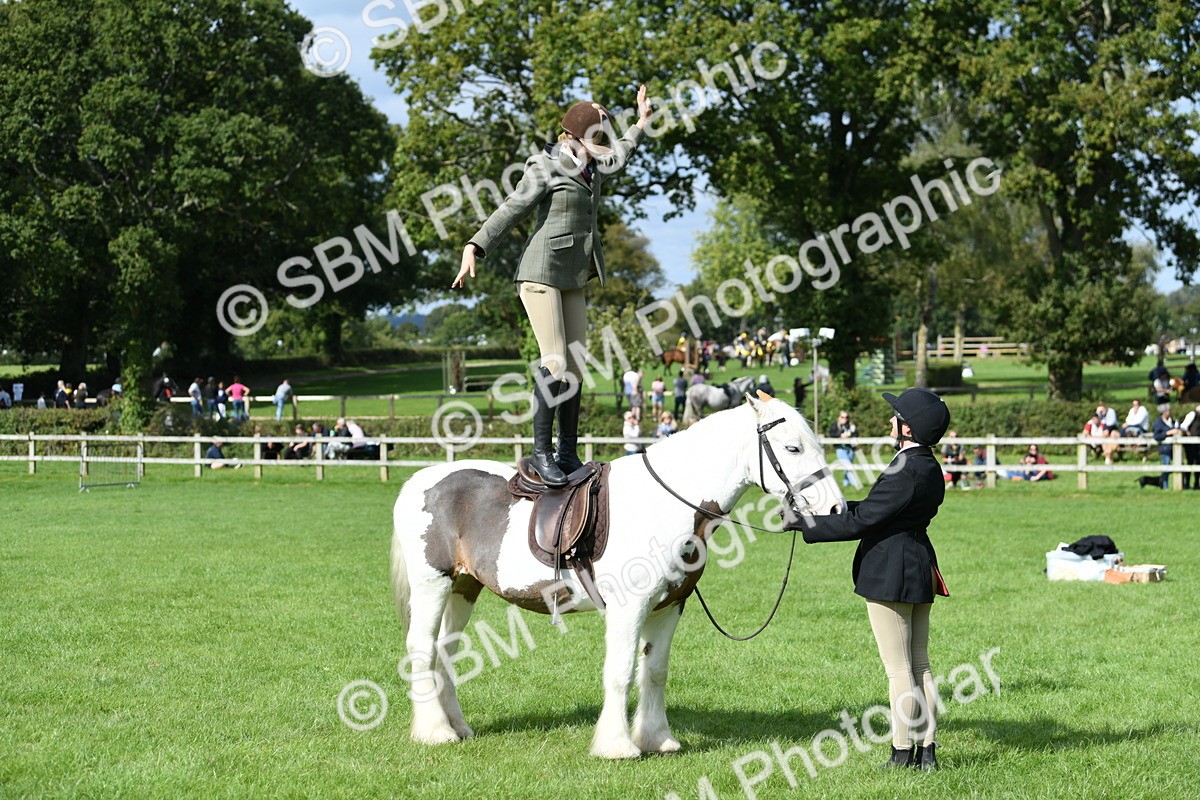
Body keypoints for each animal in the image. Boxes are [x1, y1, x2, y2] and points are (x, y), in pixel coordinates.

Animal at [389, 393, 844, 758]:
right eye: (792, 447)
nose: (837, 509)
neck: (665, 501)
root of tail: (417, 481)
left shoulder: (669, 607)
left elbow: (654, 672)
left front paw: (657, 739)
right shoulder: (630, 608)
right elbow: (621, 671)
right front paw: (618, 746)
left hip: (464, 587)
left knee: (446, 652)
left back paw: (457, 727)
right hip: (433, 584)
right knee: (422, 649)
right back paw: (435, 732)